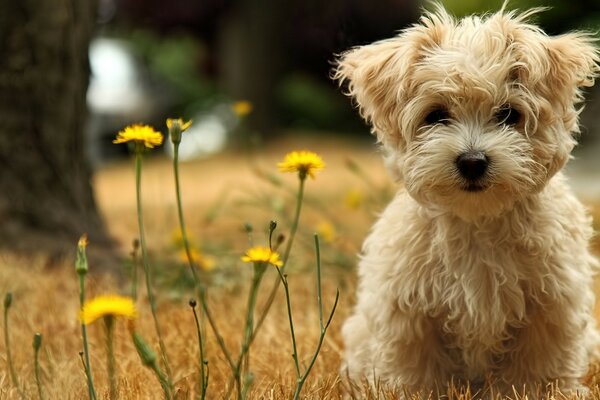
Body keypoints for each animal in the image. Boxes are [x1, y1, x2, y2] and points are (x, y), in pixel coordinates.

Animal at [336, 3, 600, 396]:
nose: (472, 161)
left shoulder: (552, 302)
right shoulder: (407, 308)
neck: (478, 220)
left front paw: (537, 391)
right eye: (436, 115)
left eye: (508, 114)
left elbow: (536, 365)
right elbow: (415, 367)